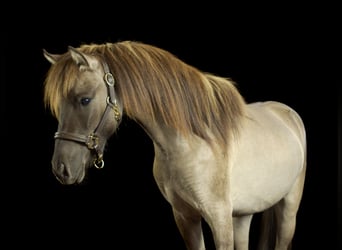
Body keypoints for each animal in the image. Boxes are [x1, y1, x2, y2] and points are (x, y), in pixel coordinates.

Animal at [41, 40, 306, 249]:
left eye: (84, 100)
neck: (191, 144)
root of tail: (287, 113)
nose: (61, 168)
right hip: (243, 215)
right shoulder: (185, 217)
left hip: (289, 209)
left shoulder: (220, 220)